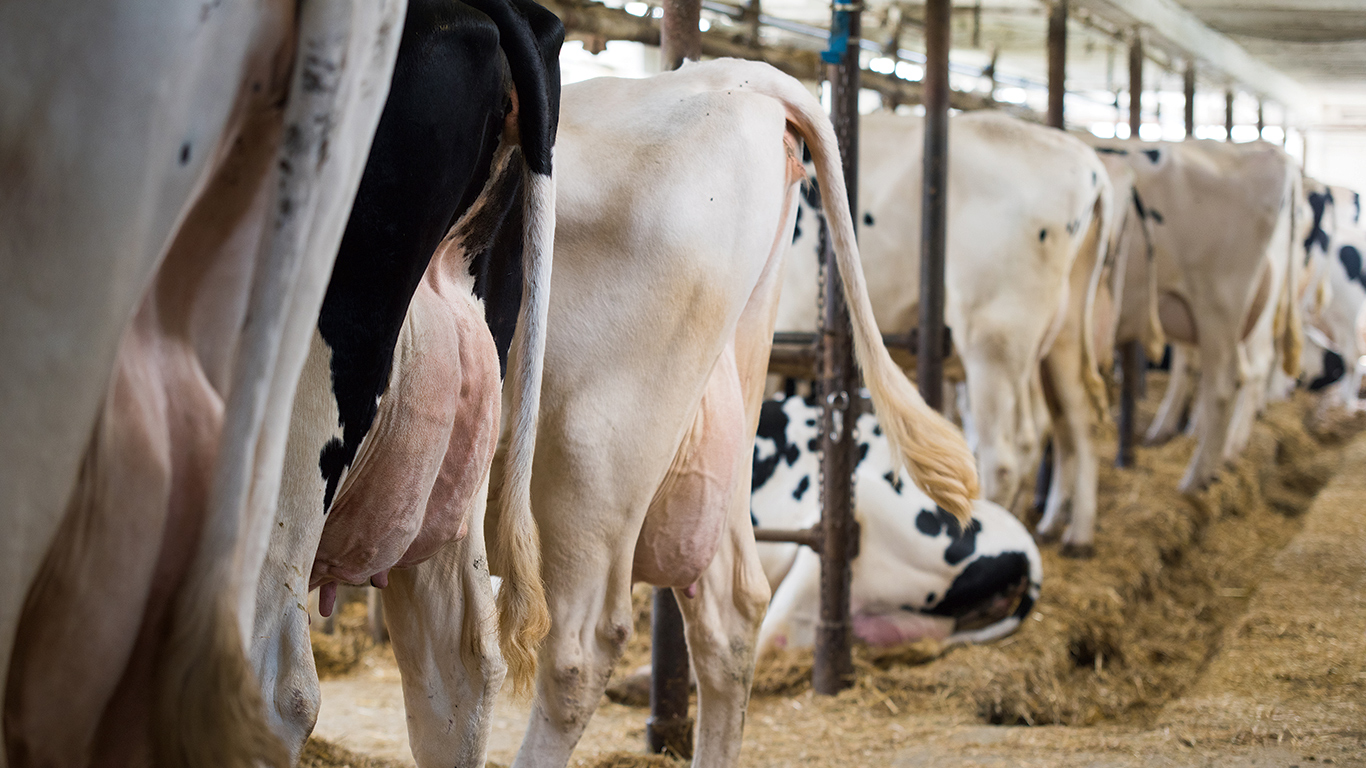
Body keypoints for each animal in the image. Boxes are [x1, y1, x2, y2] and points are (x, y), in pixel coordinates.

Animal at [775, 110, 1114, 549]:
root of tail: (1086, 161)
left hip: (992, 339)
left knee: (1006, 454)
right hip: (1061, 334)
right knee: (1072, 419)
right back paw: (1071, 531)